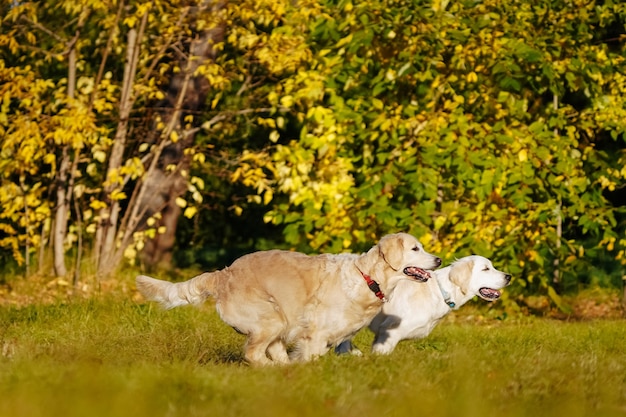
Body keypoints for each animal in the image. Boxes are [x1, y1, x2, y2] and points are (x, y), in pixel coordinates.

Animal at [136, 232, 438, 366]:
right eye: (415, 249)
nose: (438, 259)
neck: (367, 277)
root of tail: (223, 273)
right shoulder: (315, 333)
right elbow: (313, 355)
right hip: (271, 318)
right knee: (254, 353)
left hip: (279, 323)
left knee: (273, 352)